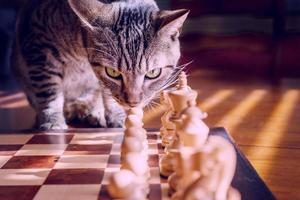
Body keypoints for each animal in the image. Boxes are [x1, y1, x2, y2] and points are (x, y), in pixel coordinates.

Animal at [11, 0, 190, 130]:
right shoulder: (38, 46)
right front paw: (52, 121)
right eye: (113, 72)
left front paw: (115, 116)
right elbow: (49, 91)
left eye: (153, 73)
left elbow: (107, 94)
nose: (132, 103)